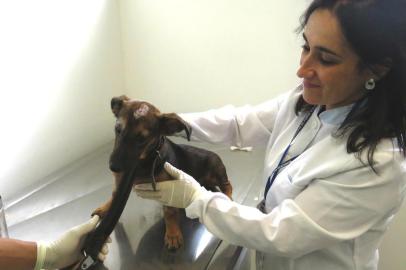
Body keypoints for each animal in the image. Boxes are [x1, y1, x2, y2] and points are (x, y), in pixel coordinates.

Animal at [91, 96, 232, 250]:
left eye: (142, 138)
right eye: (117, 129)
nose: (113, 167)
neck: (144, 162)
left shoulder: (169, 188)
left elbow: (169, 212)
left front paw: (172, 234)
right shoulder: (119, 182)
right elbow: (114, 196)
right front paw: (106, 208)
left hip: (216, 169)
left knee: (228, 185)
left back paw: (228, 197)